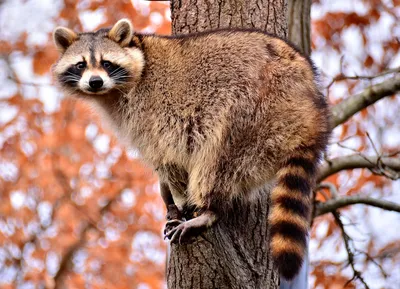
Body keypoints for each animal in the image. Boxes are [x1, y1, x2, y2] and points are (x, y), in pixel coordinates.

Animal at [51, 18, 330, 280]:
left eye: (107, 63)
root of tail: (312, 107)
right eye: (81, 65)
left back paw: (210, 209)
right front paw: (168, 196)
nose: (95, 82)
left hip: (255, 108)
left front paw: (177, 195)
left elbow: (169, 156)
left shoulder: (155, 112)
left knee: (218, 158)